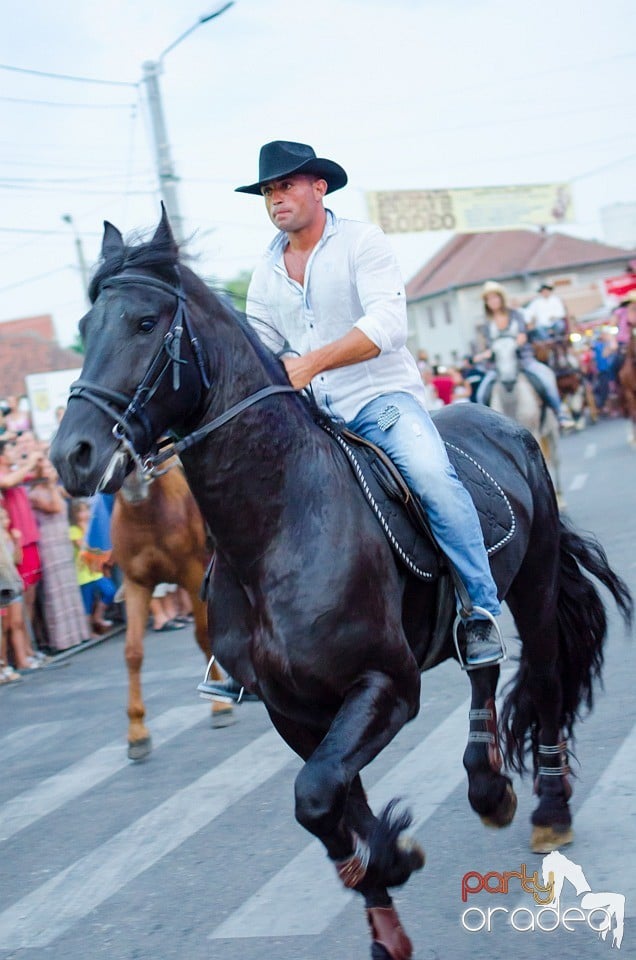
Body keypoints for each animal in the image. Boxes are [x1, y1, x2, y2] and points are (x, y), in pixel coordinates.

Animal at [110, 462, 232, 760]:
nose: (131, 480)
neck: (144, 515)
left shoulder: (193, 574)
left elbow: (203, 636)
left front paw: (220, 707)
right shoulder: (136, 584)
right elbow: (133, 652)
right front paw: (137, 731)